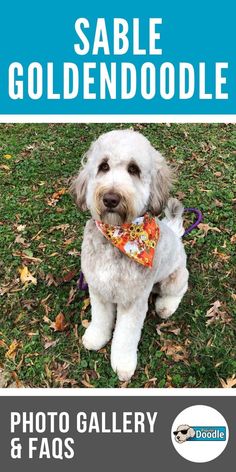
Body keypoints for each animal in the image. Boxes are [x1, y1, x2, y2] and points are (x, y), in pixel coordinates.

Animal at [71, 128, 189, 380]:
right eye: (103, 166)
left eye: (134, 169)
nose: (110, 198)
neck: (118, 236)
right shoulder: (98, 289)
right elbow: (100, 318)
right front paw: (96, 338)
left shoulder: (133, 302)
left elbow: (126, 335)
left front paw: (123, 364)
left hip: (174, 277)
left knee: (180, 288)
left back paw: (166, 306)